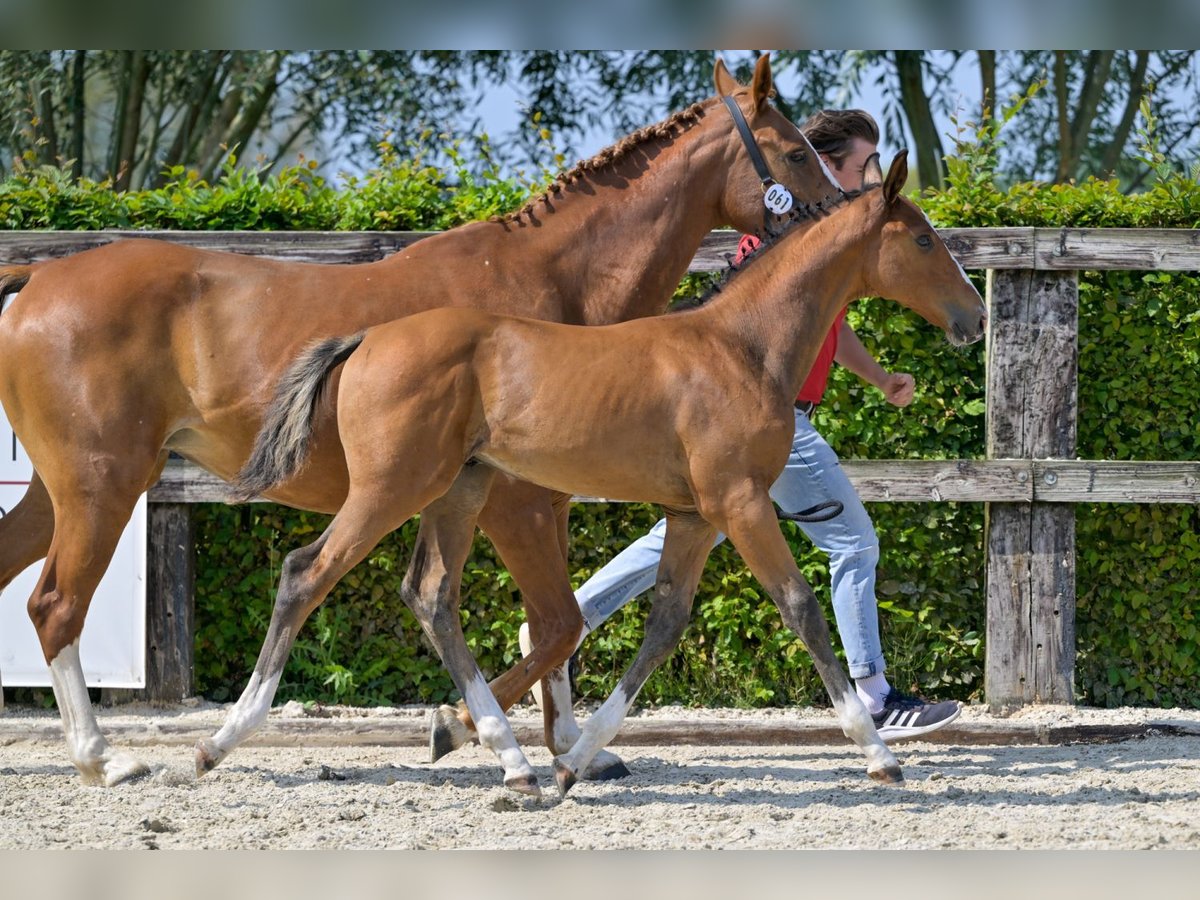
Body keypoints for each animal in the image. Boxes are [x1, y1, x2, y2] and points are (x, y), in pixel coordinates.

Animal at [0, 58, 844, 787]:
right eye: (795, 151)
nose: (840, 216)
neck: (551, 283)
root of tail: (38, 277)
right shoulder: (517, 500)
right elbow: (556, 622)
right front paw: (467, 730)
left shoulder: (541, 498)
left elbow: (550, 626)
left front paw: (570, 745)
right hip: (103, 486)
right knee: (57, 604)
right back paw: (106, 758)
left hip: (61, 490)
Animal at [204, 153, 984, 796]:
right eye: (922, 239)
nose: (974, 317)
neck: (739, 347)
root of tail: (368, 338)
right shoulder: (740, 503)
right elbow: (800, 606)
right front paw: (879, 753)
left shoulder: (695, 515)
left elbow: (664, 626)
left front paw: (574, 763)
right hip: (390, 489)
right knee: (305, 573)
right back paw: (220, 741)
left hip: (460, 490)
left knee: (431, 596)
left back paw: (505, 757)